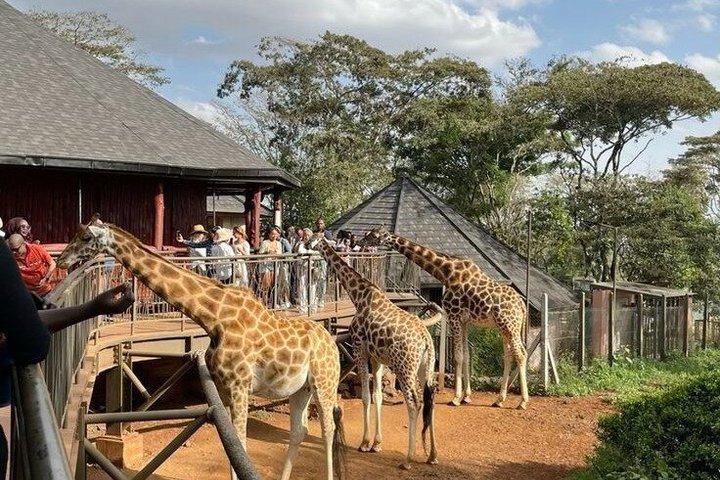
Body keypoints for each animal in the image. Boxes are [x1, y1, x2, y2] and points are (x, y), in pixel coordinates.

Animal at [56, 218, 346, 480]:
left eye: (85, 237)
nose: (61, 261)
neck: (213, 316)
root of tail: (331, 342)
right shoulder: (223, 386)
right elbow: (231, 446)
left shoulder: (240, 386)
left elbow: (241, 444)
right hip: (300, 389)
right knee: (299, 431)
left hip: (324, 382)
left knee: (327, 429)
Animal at [309, 234, 441, 469]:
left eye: (310, 237)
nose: (306, 246)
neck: (360, 296)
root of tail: (426, 339)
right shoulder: (377, 358)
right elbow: (378, 395)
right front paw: (376, 443)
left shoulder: (360, 349)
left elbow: (365, 396)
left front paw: (364, 443)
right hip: (425, 367)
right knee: (429, 400)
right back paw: (432, 455)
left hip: (405, 368)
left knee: (414, 403)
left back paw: (408, 459)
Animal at [361, 227, 529, 410]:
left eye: (373, 235)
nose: (360, 243)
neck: (446, 273)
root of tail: (522, 305)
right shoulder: (464, 320)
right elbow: (466, 355)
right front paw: (466, 396)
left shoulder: (453, 315)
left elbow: (458, 356)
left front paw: (456, 398)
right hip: (505, 327)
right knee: (509, 356)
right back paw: (499, 399)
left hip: (509, 325)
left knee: (521, 354)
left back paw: (523, 402)